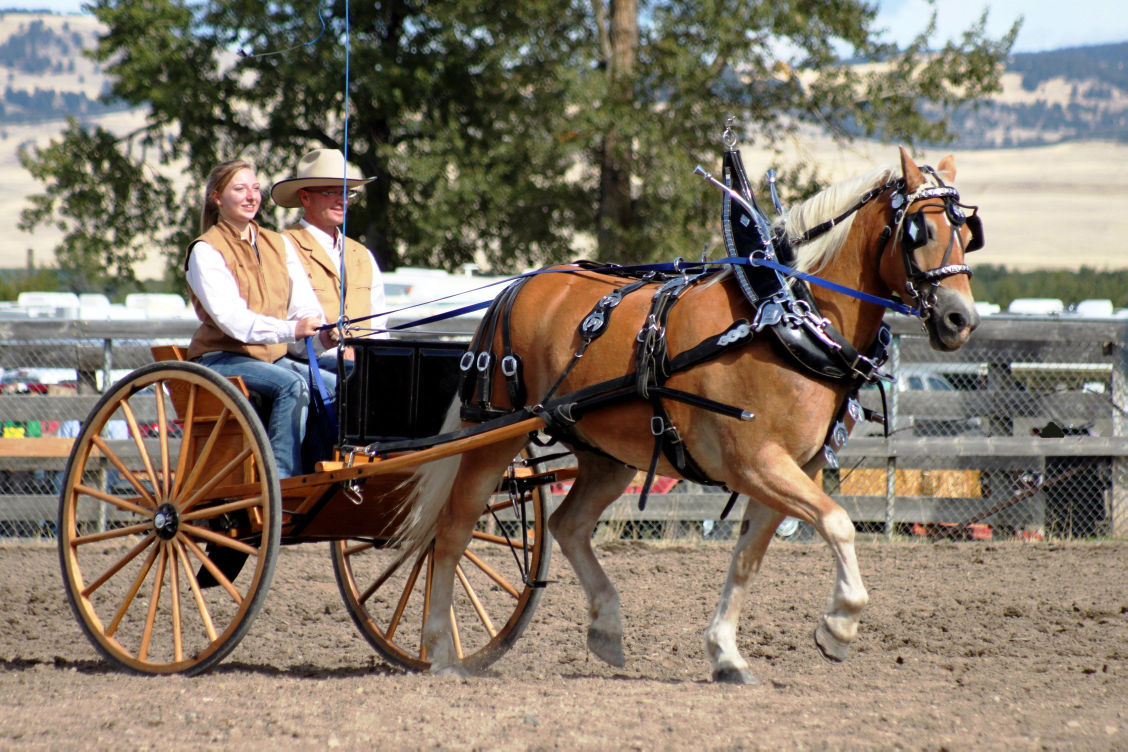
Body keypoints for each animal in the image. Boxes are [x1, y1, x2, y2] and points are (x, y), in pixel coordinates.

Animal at [395, 145, 982, 683]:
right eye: (919, 231)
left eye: (968, 232)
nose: (961, 320)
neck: (784, 320)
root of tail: (518, 286)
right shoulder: (756, 463)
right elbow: (838, 523)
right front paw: (838, 626)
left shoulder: (795, 469)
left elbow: (748, 558)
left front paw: (727, 654)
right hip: (492, 434)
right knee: (452, 532)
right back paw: (441, 654)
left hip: (607, 453)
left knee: (567, 524)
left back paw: (606, 628)